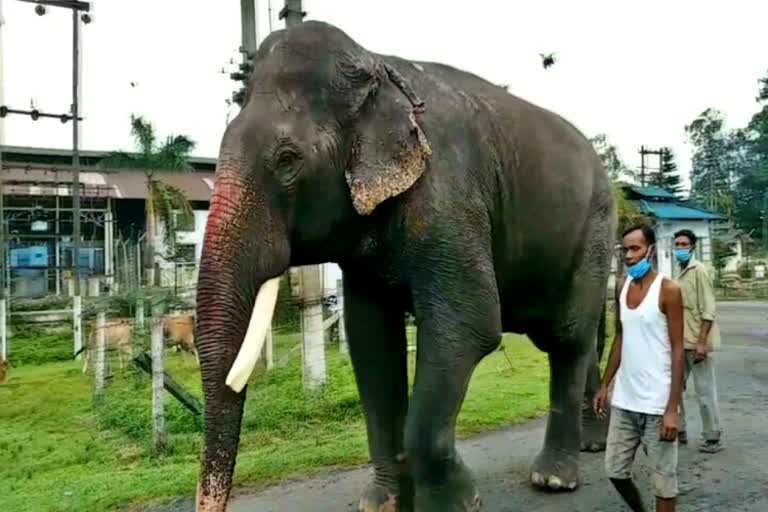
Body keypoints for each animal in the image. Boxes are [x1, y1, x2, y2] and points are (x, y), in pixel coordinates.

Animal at [194, 20, 616, 512]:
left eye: (287, 161)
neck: (379, 67)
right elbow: (372, 341)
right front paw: (382, 503)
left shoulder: (449, 195)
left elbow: (469, 325)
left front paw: (457, 503)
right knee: (581, 338)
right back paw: (592, 446)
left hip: (595, 227)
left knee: (568, 337)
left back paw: (553, 478)